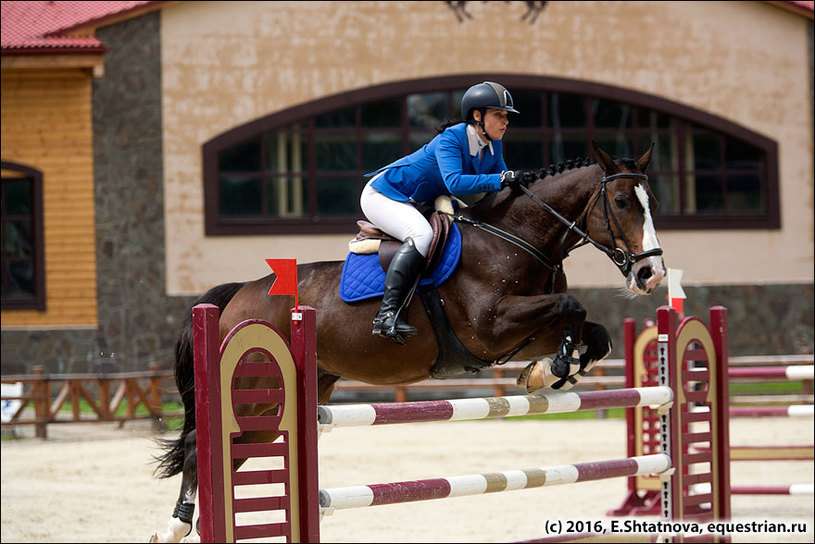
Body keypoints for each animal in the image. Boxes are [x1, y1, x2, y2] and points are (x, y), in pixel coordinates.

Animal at [150, 140, 668, 540]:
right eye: (622, 203)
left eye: (653, 204)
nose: (652, 275)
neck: (516, 237)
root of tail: (238, 295)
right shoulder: (491, 327)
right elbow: (572, 306)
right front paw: (554, 368)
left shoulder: (522, 332)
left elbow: (593, 332)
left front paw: (547, 370)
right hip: (255, 393)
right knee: (198, 446)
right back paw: (174, 527)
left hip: (280, 402)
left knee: (230, 451)